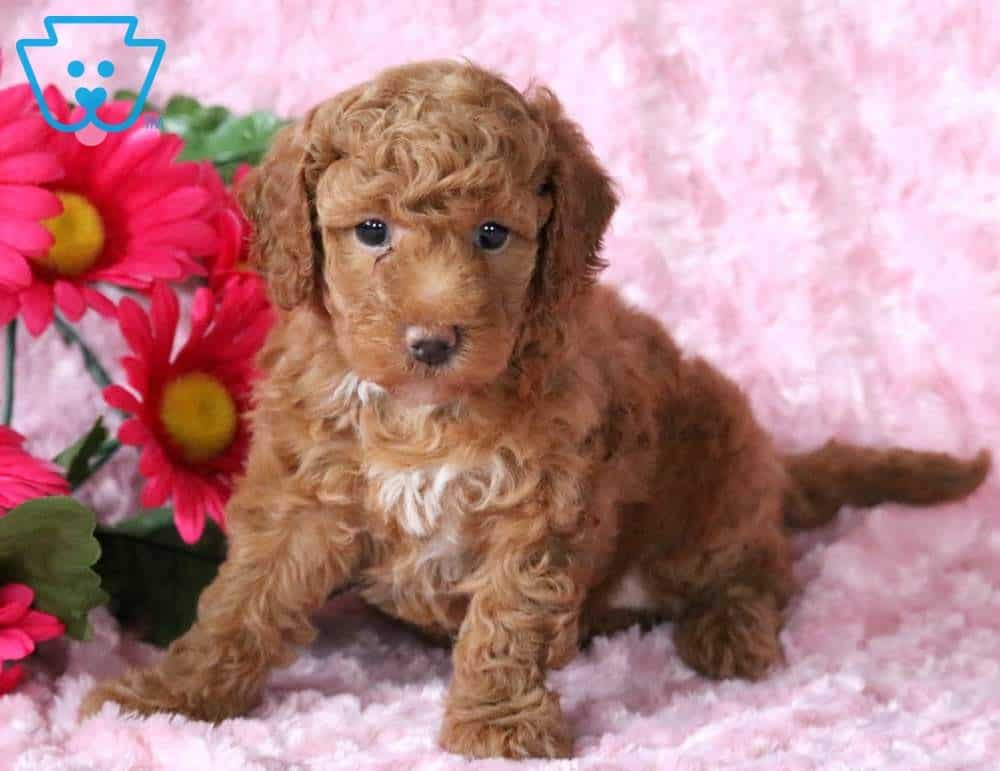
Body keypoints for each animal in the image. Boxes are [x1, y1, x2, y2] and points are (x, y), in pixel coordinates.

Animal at [80, 61, 992, 760]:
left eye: (493, 235)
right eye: (371, 230)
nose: (433, 340)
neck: (423, 414)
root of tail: (772, 462)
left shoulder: (543, 501)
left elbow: (508, 616)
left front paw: (494, 724)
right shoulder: (304, 487)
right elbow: (244, 602)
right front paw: (168, 693)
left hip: (710, 486)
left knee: (759, 566)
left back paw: (729, 630)